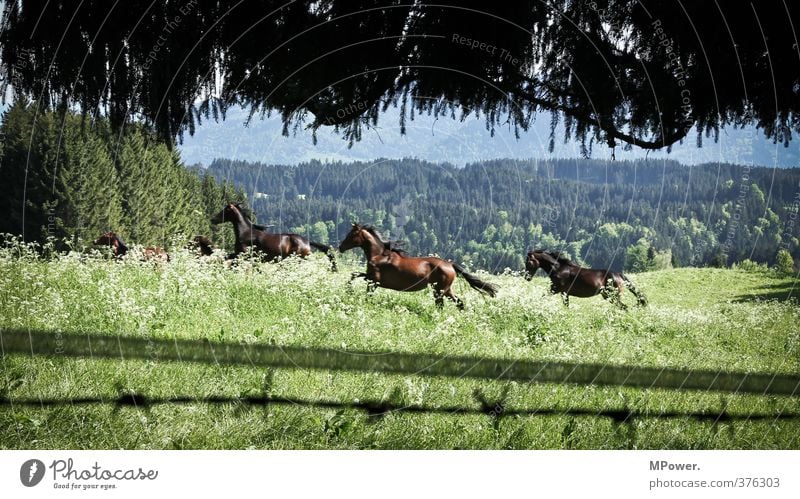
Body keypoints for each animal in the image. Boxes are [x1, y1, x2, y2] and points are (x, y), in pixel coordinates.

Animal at [340, 226, 500, 310]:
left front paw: (350, 292)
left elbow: (359, 282)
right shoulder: (370, 279)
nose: (340, 247)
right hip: (445, 289)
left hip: (440, 290)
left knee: (443, 304)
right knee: (457, 302)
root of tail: (450, 265)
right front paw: (349, 290)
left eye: (351, 235)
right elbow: (354, 274)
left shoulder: (374, 280)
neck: (379, 255)